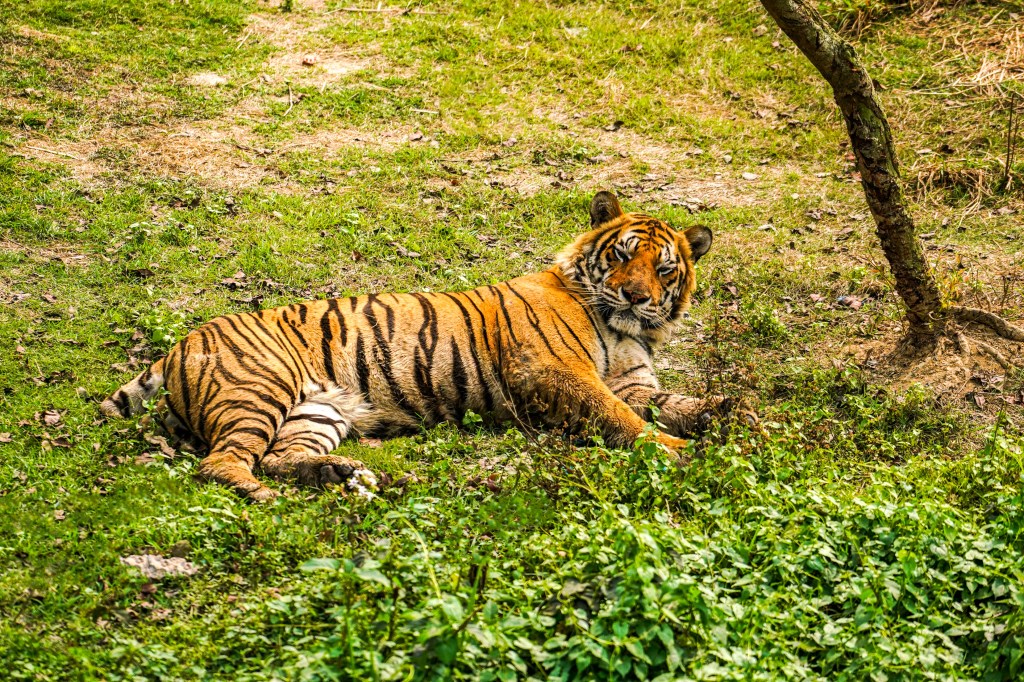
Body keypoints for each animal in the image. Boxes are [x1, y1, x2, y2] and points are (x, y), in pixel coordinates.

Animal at [101, 191, 729, 499]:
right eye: (622, 254)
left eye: (664, 268)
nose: (635, 296)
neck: (628, 332)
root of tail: (178, 344)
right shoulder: (550, 372)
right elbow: (621, 417)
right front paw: (678, 451)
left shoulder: (634, 382)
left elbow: (676, 404)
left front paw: (732, 413)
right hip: (258, 390)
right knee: (221, 464)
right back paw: (267, 499)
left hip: (316, 410)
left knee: (279, 456)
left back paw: (339, 475)